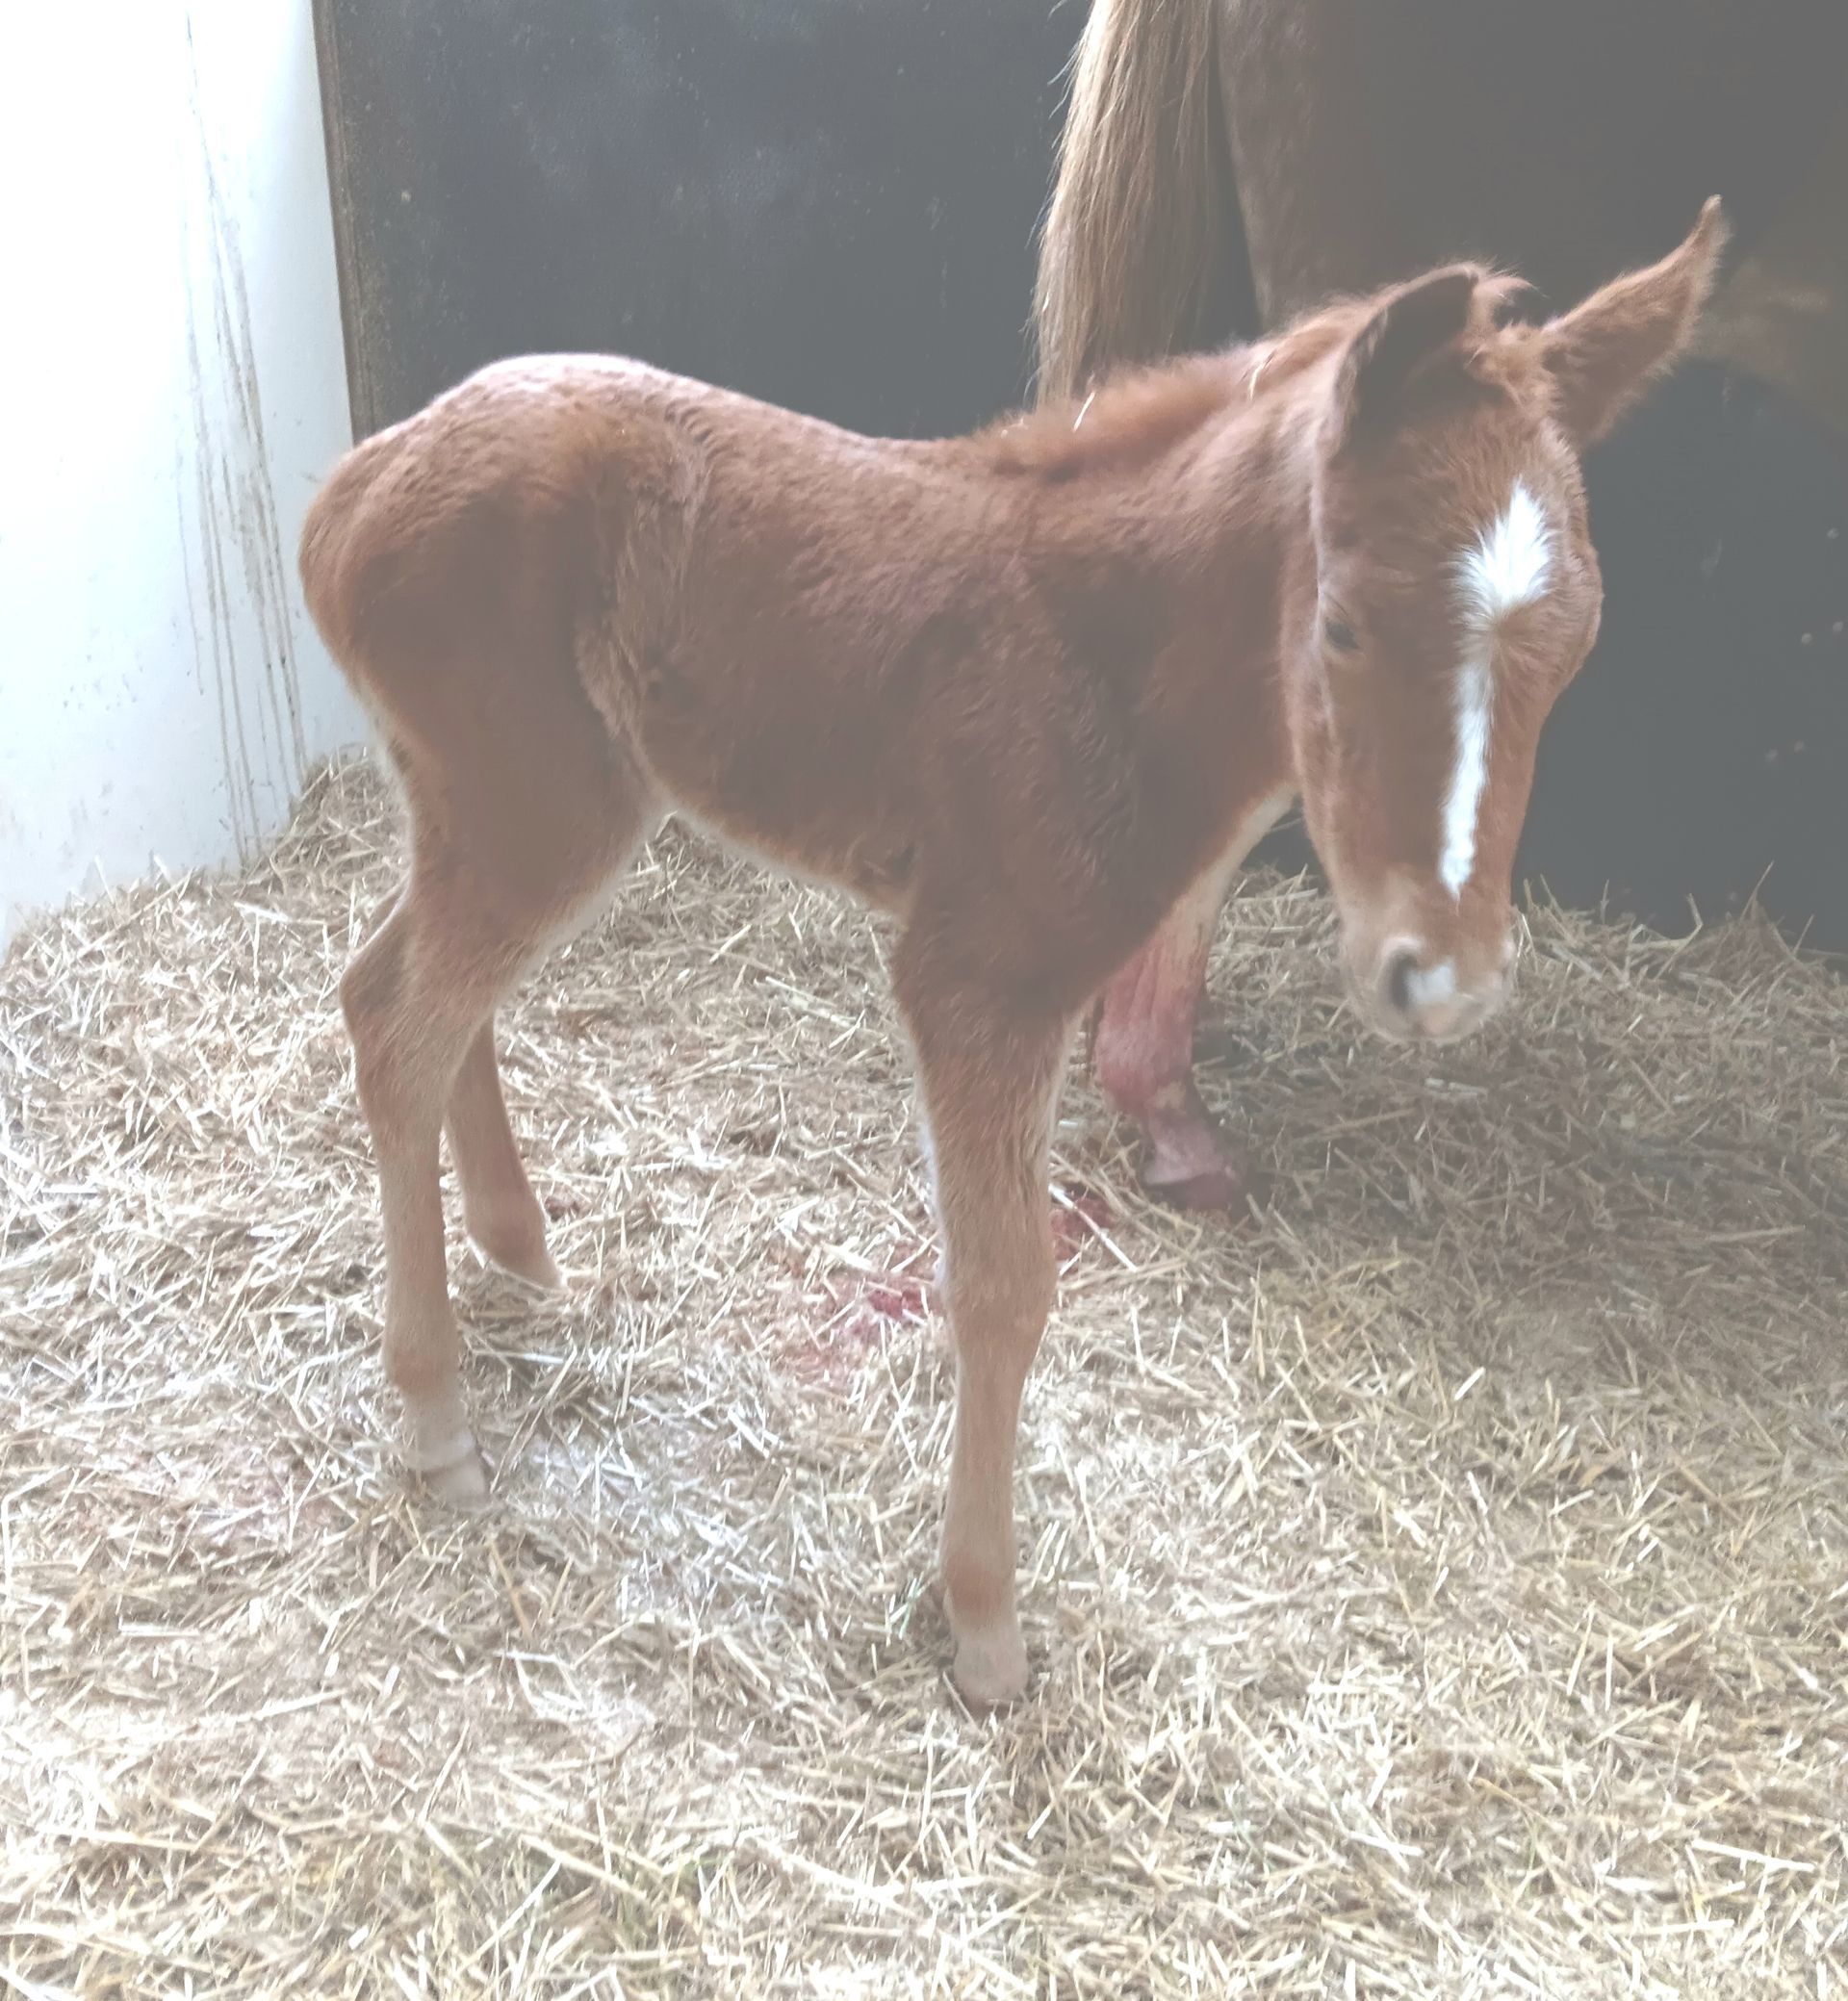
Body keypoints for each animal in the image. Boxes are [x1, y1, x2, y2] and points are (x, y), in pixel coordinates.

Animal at [300, 207, 1723, 1704]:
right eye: (1344, 621)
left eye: (1577, 649)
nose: (1437, 976)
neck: (1101, 655)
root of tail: (351, 488)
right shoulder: (977, 979)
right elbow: (1004, 1286)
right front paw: (984, 1626)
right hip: (538, 808)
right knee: (396, 1022)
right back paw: (437, 1422)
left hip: (488, 805)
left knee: (416, 991)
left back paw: (518, 1251)